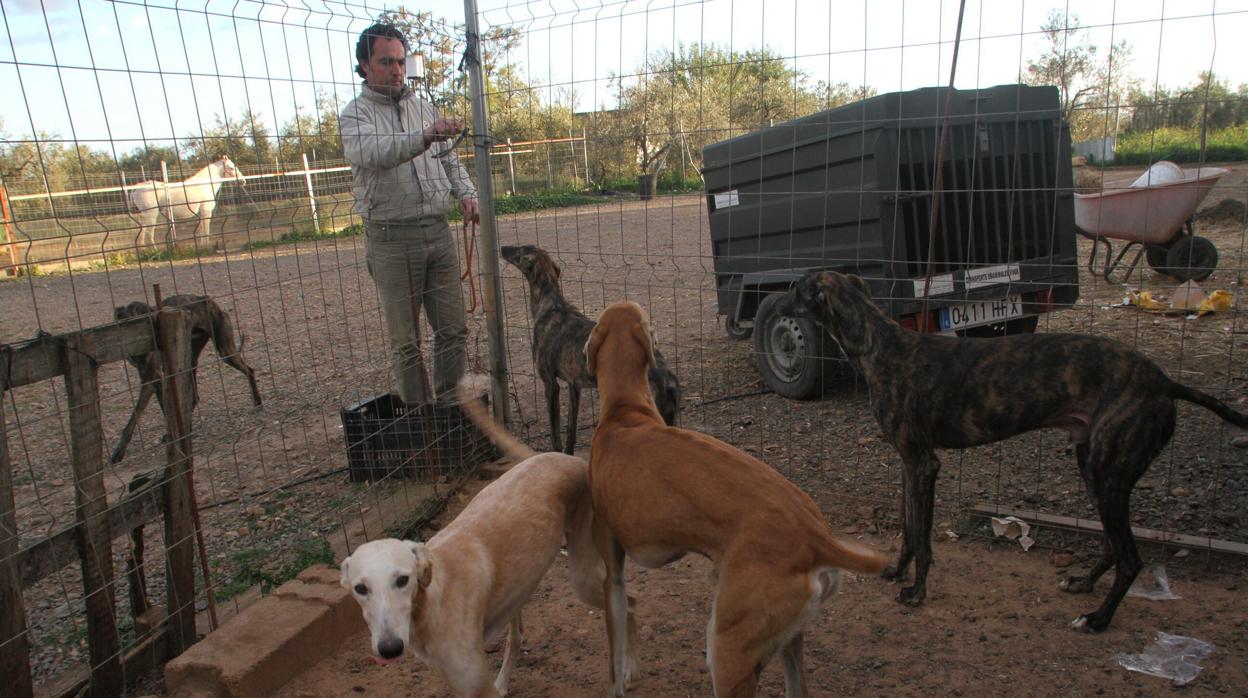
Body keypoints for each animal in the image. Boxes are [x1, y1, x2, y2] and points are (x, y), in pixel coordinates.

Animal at [111, 294, 262, 464]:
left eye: (144, 317)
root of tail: (206, 299)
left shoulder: (154, 377)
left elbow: (156, 412)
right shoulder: (151, 379)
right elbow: (137, 417)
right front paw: (119, 452)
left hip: (225, 352)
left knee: (249, 371)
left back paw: (257, 401)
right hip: (190, 362)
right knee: (195, 397)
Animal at [339, 387, 638, 698]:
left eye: (402, 580)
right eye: (360, 588)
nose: (389, 649)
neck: (432, 597)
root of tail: (564, 457)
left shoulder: (476, 686)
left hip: (583, 577)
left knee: (630, 603)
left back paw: (627, 670)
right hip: (523, 587)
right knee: (517, 636)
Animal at [499, 244, 683, 454]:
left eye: (521, 249)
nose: (502, 247)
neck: (551, 305)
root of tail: (667, 378)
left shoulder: (550, 384)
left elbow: (555, 435)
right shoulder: (574, 386)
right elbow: (570, 433)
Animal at [584, 303, 888, 698]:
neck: (623, 412)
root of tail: (816, 536)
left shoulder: (614, 578)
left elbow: (613, 660)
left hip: (728, 655)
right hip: (787, 640)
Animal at [778, 272, 1248, 634]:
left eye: (796, 288)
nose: (775, 303)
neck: (879, 343)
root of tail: (1164, 381)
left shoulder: (923, 463)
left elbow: (924, 537)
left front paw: (916, 592)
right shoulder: (909, 464)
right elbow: (910, 530)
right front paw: (895, 572)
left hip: (1108, 473)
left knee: (1132, 558)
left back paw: (1097, 619)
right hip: (1094, 467)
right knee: (1115, 547)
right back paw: (1082, 584)